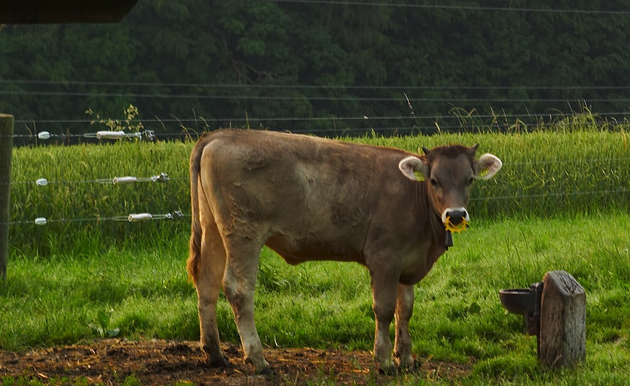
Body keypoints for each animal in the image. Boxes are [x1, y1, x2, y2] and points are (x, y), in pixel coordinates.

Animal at [188, 130, 504, 374]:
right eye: (434, 180)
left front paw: (406, 359)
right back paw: (258, 359)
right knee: (239, 289)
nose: (455, 215)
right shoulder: (384, 259)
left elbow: (405, 309)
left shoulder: (406, 262)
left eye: (470, 180)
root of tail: (220, 135)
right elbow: (384, 309)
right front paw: (384, 361)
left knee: (207, 283)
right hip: (243, 232)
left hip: (213, 228)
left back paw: (215, 354)